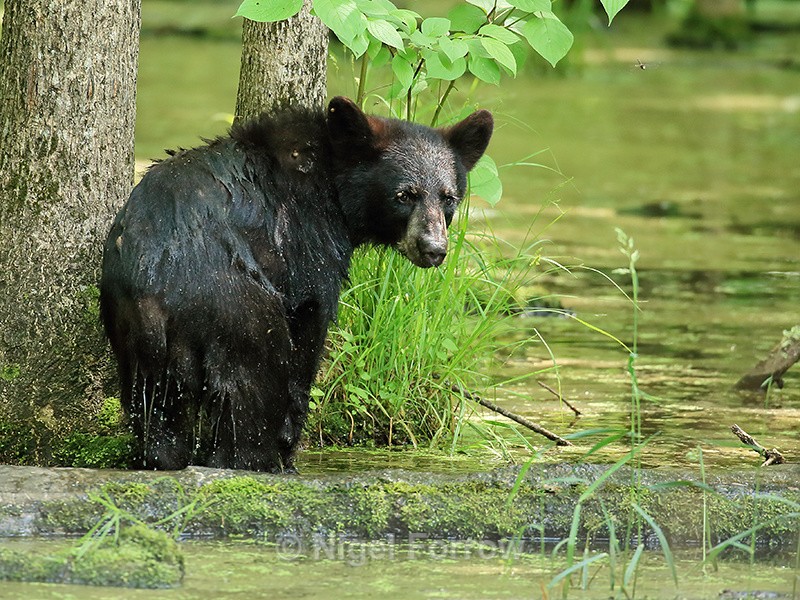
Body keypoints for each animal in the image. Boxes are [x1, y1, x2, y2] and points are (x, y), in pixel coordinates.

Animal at [99, 96, 493, 472]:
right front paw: (289, 444)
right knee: (252, 387)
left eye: (448, 197)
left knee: (161, 417)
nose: (434, 248)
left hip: (138, 338)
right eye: (405, 195)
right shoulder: (305, 240)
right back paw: (257, 461)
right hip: (235, 307)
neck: (334, 184)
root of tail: (156, 278)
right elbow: (308, 328)